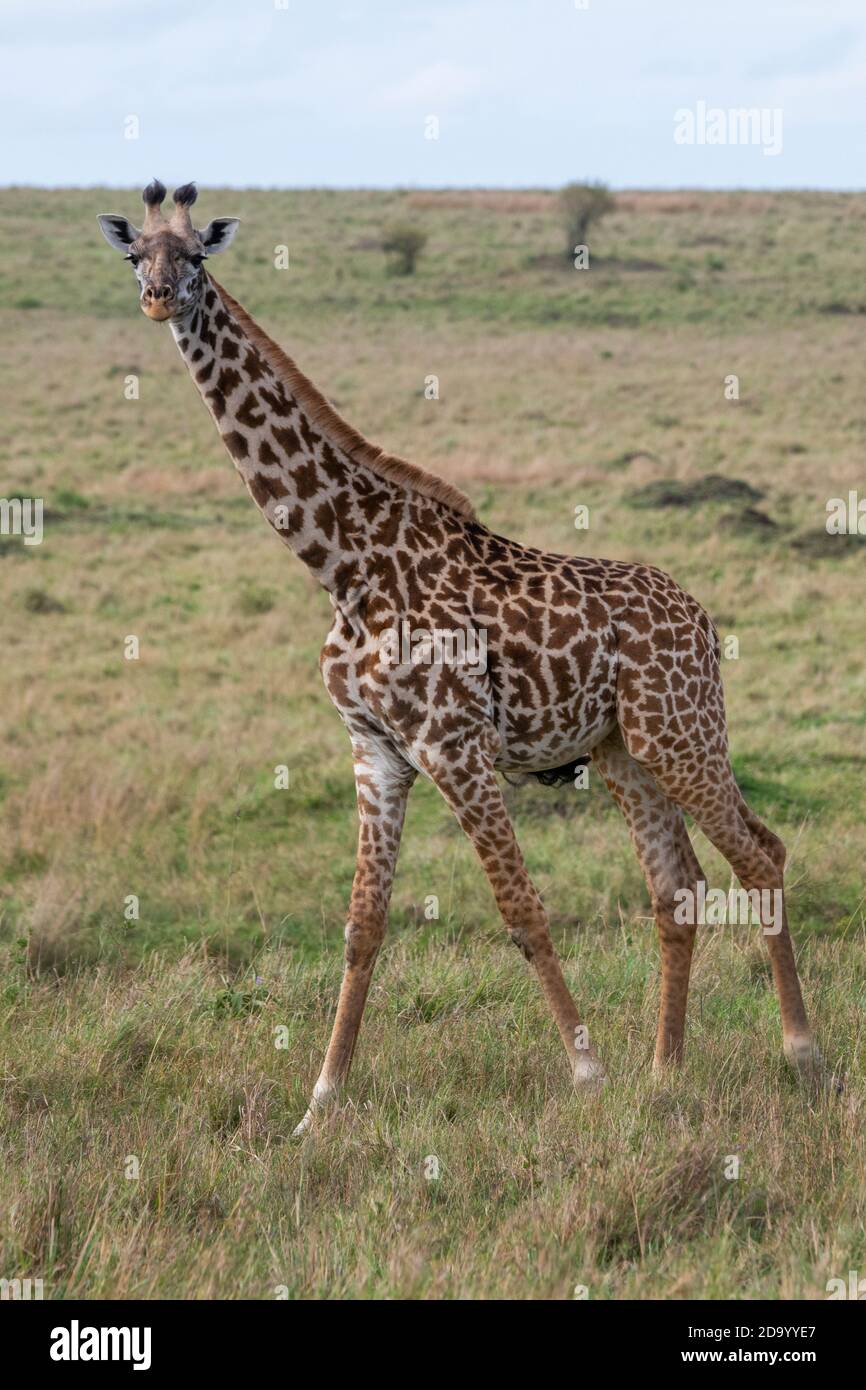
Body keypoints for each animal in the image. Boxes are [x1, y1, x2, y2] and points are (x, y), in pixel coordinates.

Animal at [94, 182, 828, 1128]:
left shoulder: (455, 743)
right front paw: (320, 1103)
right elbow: (362, 924)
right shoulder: (375, 750)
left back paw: (802, 1054)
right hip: (622, 751)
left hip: (681, 732)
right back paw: (666, 1072)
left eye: (195, 257)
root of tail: (701, 619)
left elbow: (521, 908)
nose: (157, 299)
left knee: (761, 854)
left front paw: (587, 1073)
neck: (345, 568)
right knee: (679, 887)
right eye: (134, 253)